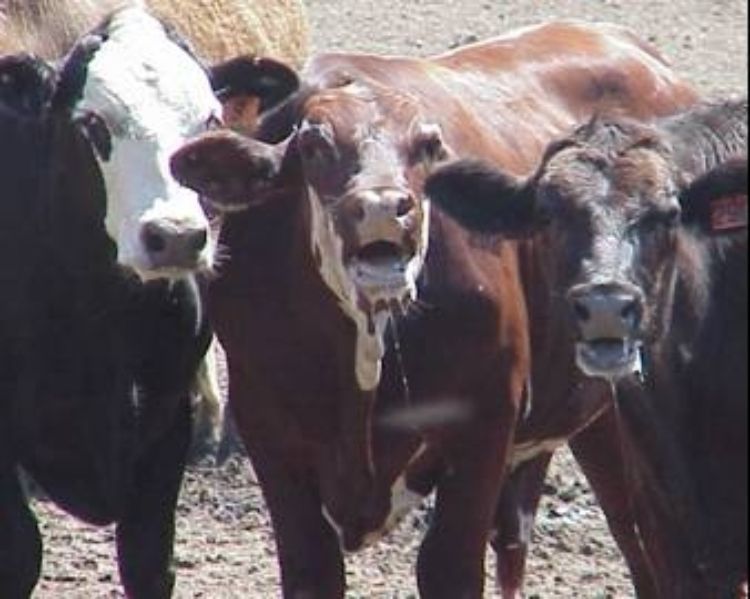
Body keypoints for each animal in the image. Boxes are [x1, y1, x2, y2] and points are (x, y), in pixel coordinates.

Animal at [0, 6, 301, 597]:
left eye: (208, 122)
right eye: (94, 124)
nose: (176, 236)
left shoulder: (165, 424)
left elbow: (148, 560)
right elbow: (19, 553)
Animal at [170, 20, 700, 597]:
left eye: (425, 145)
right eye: (313, 145)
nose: (382, 205)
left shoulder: (482, 428)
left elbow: (448, 566)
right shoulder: (271, 434)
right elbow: (313, 569)